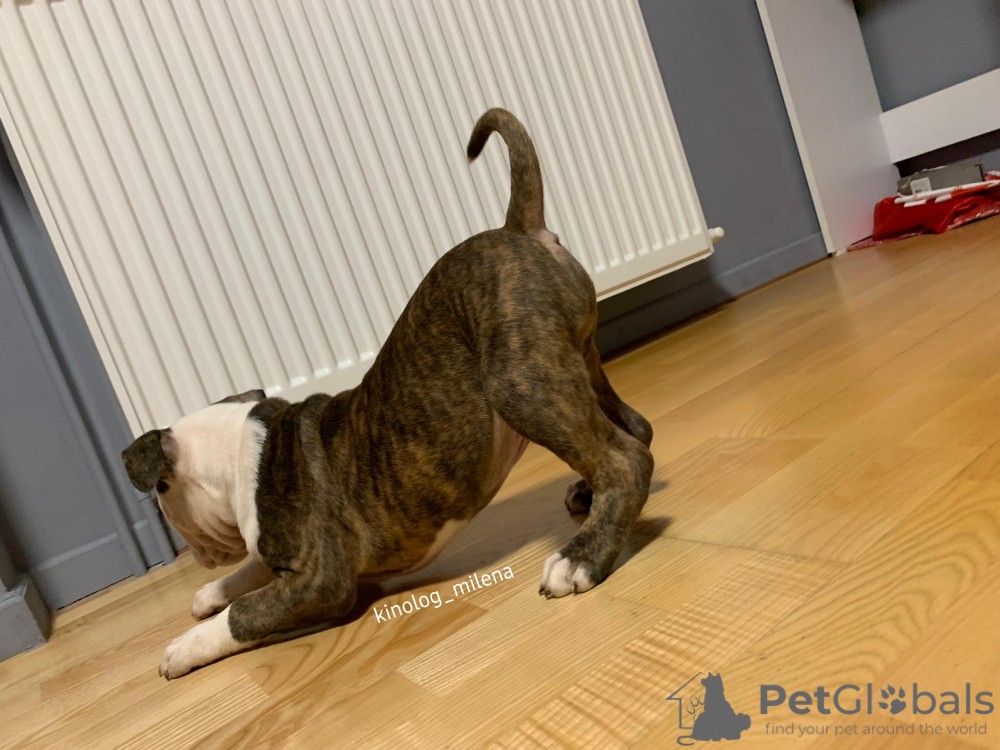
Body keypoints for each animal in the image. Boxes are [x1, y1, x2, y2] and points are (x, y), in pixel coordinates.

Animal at [122, 109, 654, 679]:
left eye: (163, 496)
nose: (200, 557)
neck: (239, 454)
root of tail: (519, 229)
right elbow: (250, 572)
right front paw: (210, 591)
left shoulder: (321, 579)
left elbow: (245, 614)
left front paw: (184, 645)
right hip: (576, 360)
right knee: (632, 429)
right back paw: (587, 494)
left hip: (520, 382)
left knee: (624, 459)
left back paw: (581, 560)